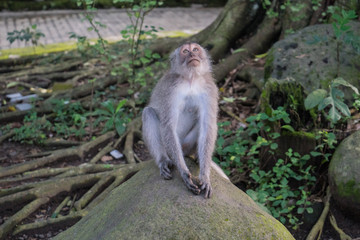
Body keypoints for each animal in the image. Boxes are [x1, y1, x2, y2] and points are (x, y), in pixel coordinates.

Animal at [141, 41, 222, 199]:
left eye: (195, 49)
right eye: (185, 51)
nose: (192, 54)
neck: (191, 79)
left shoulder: (209, 89)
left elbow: (207, 125)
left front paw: (205, 176)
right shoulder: (171, 89)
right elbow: (168, 126)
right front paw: (184, 173)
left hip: (186, 145)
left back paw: (197, 156)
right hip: (169, 149)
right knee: (148, 113)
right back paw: (163, 160)